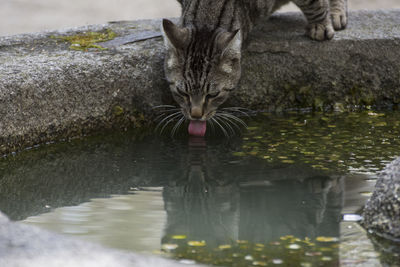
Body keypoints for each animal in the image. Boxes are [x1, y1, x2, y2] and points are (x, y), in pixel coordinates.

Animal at [162, 0, 346, 137]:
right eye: (182, 92)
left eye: (213, 94)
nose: (196, 115)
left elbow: (315, 4)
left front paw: (321, 25)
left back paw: (336, 14)